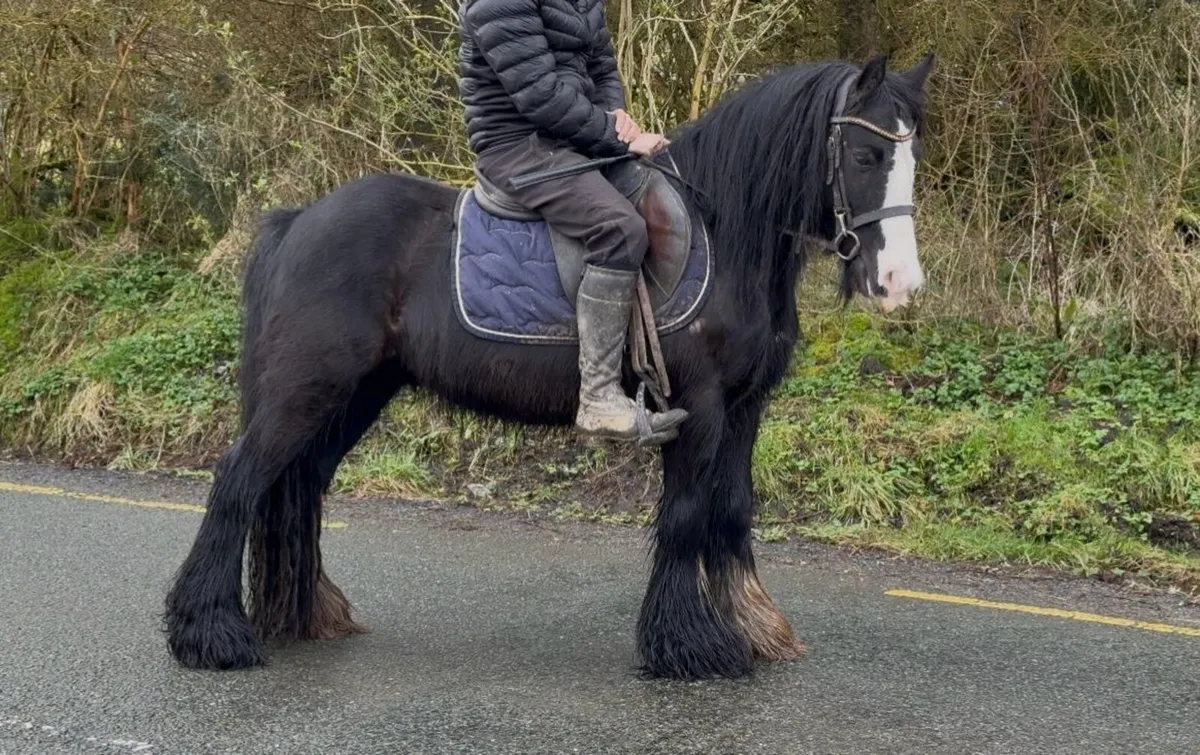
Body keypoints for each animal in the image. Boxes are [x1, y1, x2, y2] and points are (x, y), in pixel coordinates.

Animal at [163, 53, 935, 681]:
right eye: (865, 153)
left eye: (910, 158)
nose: (901, 282)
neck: (725, 233)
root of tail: (299, 219)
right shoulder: (699, 405)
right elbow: (687, 515)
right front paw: (689, 646)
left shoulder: (745, 406)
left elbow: (732, 510)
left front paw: (751, 625)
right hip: (308, 386)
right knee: (238, 479)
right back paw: (210, 634)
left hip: (355, 393)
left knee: (299, 484)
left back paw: (305, 616)